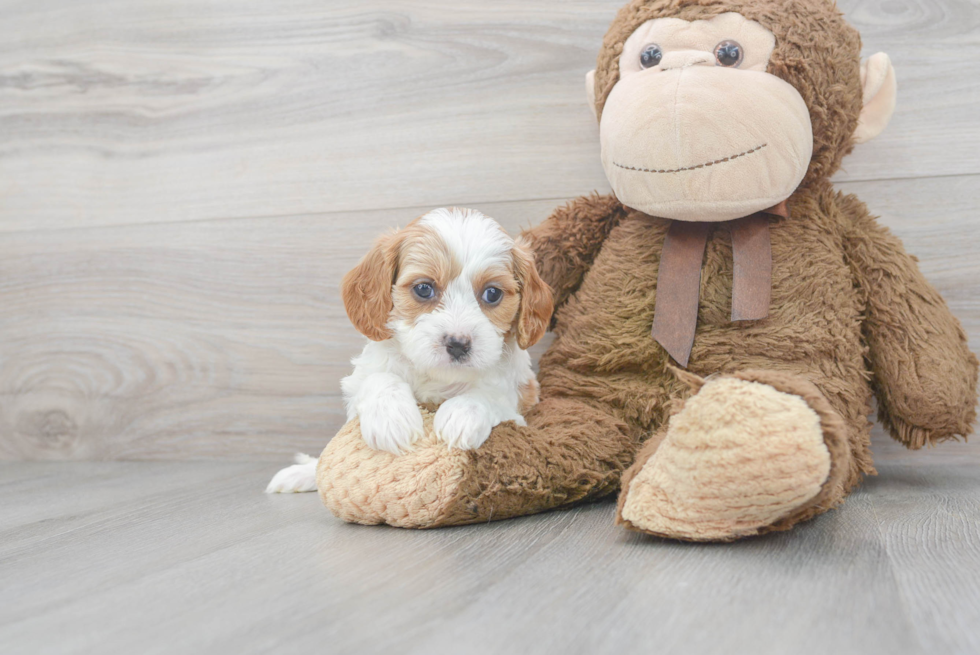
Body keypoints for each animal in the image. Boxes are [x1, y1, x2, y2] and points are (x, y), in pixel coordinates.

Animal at [266, 208, 552, 494]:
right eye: (424, 289)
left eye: (492, 294)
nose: (458, 343)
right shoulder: (361, 380)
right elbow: (379, 378)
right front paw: (391, 419)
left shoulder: (521, 400)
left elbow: (493, 395)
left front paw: (463, 414)